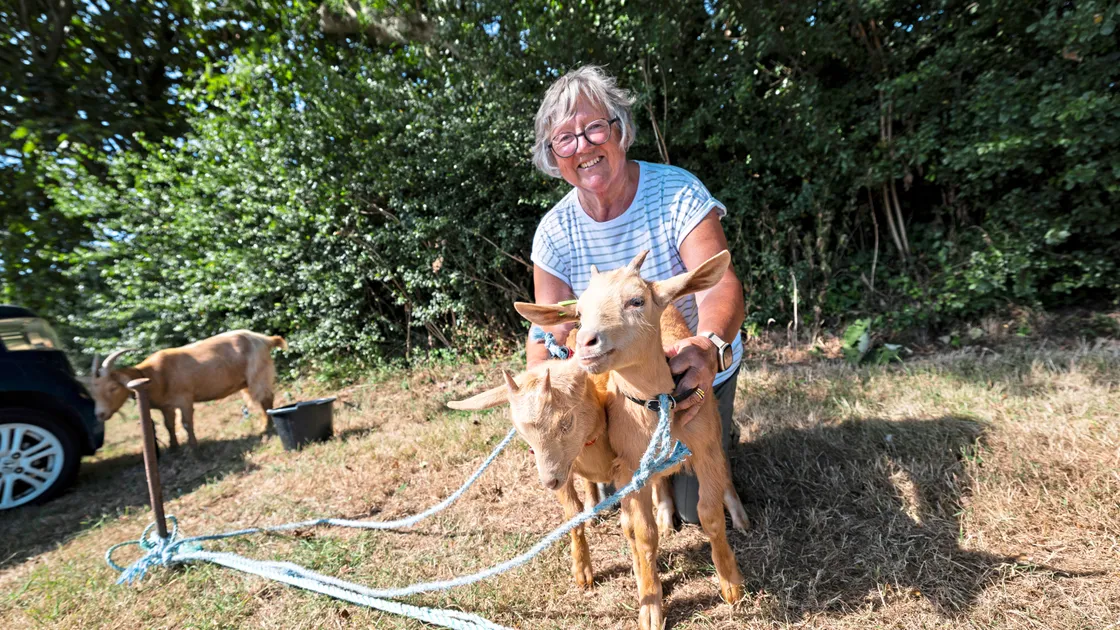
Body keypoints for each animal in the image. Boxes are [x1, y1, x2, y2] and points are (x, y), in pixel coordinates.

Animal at [91, 330, 287, 449]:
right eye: (93, 391)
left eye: (113, 387)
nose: (100, 414)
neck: (152, 375)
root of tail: (264, 339)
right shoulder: (166, 406)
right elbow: (169, 425)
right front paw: (173, 447)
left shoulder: (184, 399)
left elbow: (186, 423)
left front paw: (193, 447)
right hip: (246, 381)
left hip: (257, 373)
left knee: (265, 398)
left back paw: (267, 427)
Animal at [515, 250, 748, 630]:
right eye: (579, 312)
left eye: (636, 301)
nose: (586, 342)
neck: (655, 408)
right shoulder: (629, 468)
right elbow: (642, 534)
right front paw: (650, 605)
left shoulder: (705, 449)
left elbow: (709, 515)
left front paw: (732, 586)